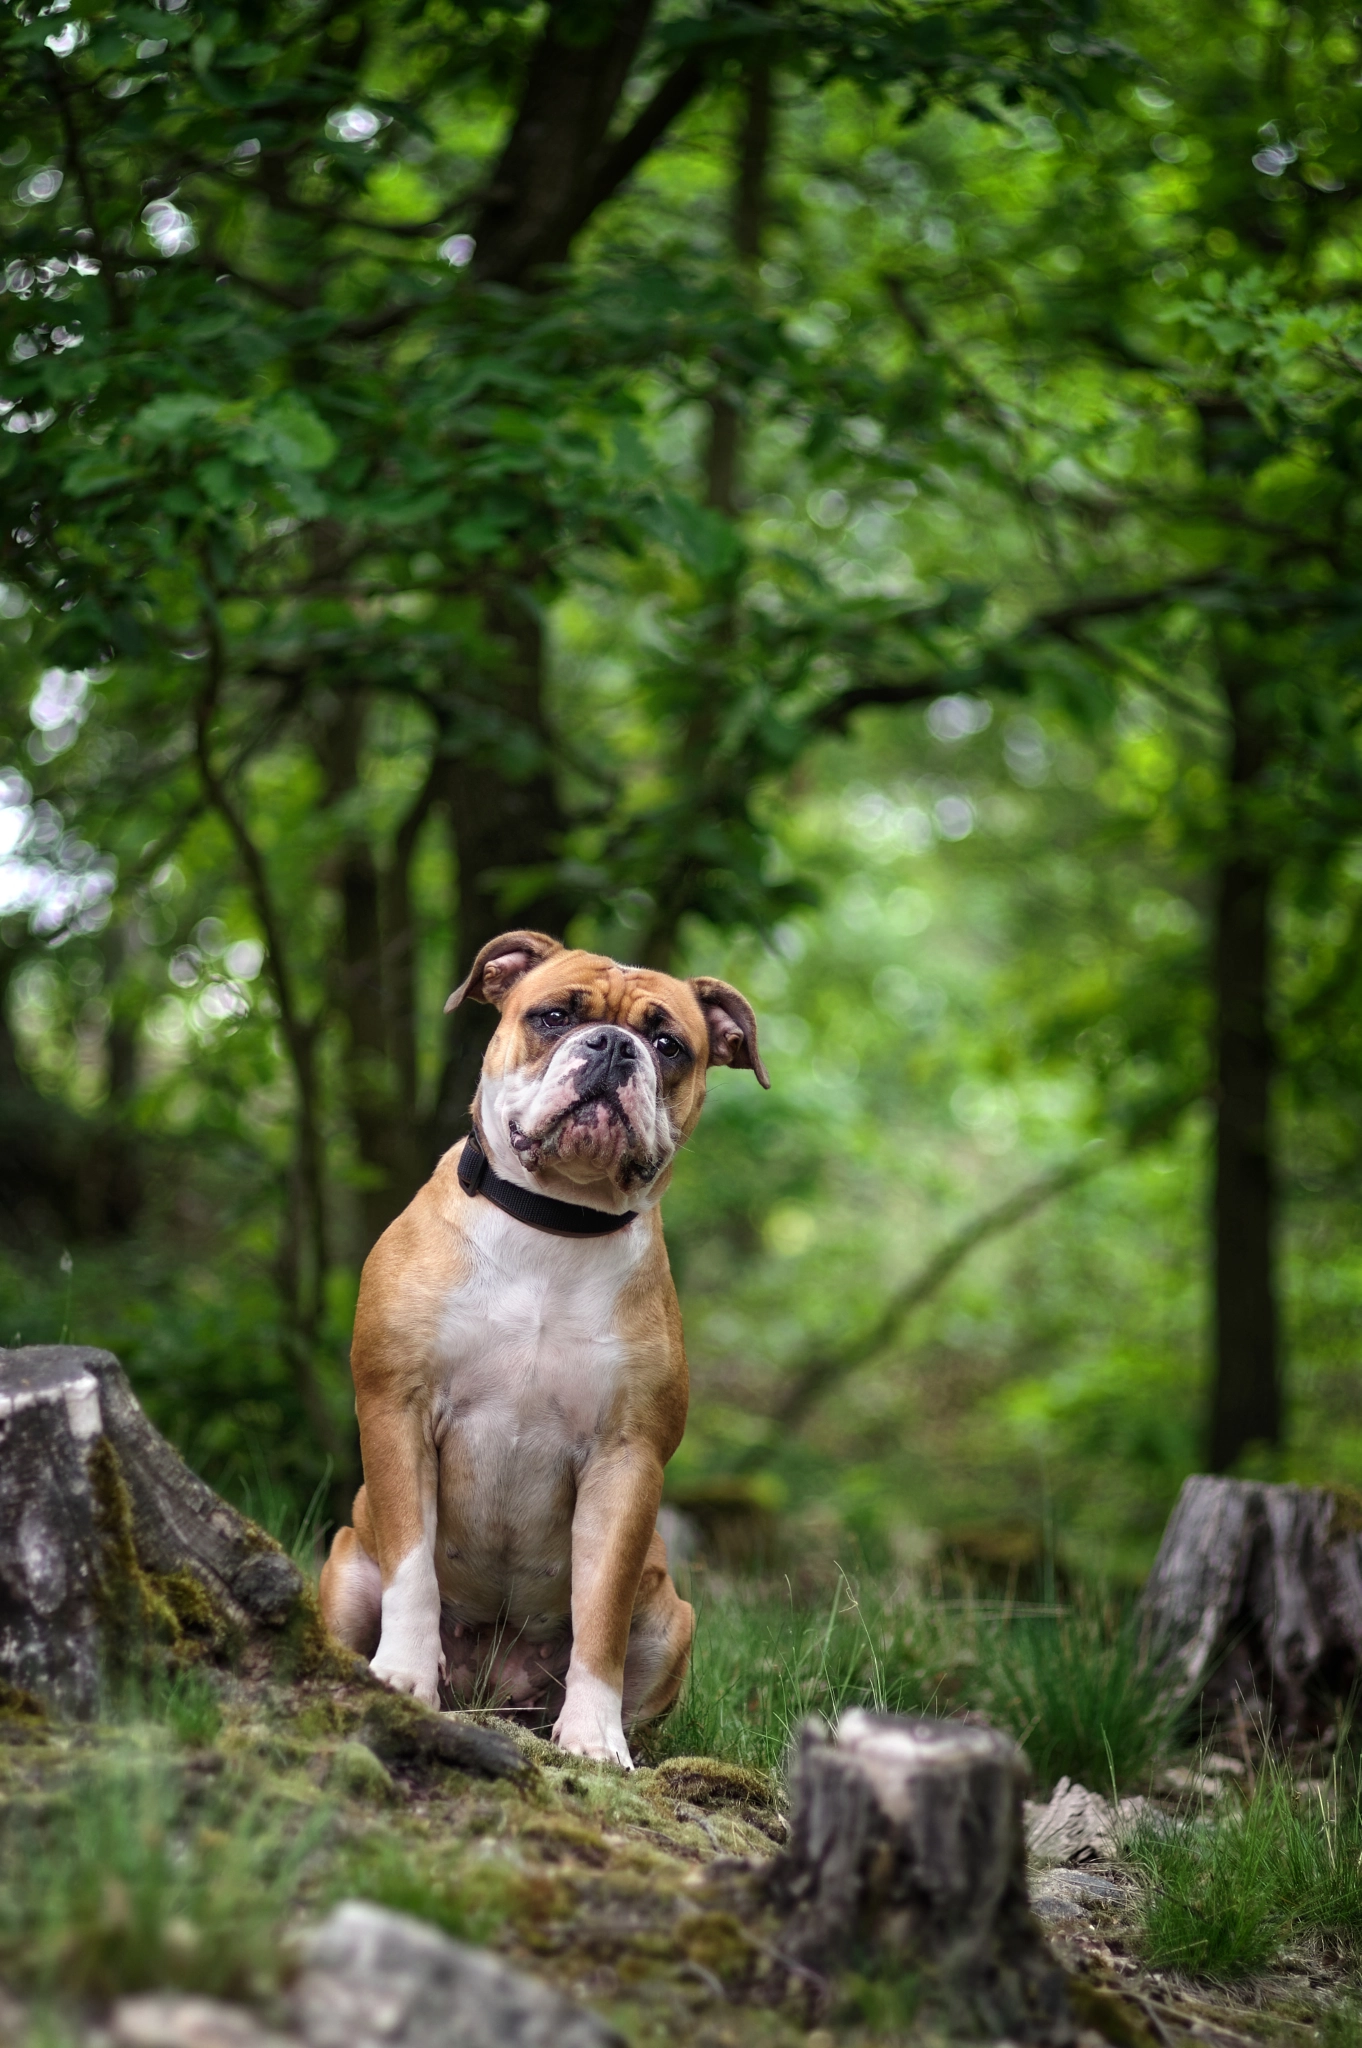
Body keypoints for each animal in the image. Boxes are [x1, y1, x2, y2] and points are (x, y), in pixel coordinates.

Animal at [319, 929, 765, 1761]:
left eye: (669, 1045)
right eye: (554, 1016)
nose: (613, 1047)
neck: (555, 1224)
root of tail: (489, 1689)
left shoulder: (627, 1459)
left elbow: (601, 1613)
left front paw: (593, 1737)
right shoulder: (396, 1409)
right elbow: (412, 1567)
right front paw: (402, 1674)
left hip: (672, 1618)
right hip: (342, 1566)